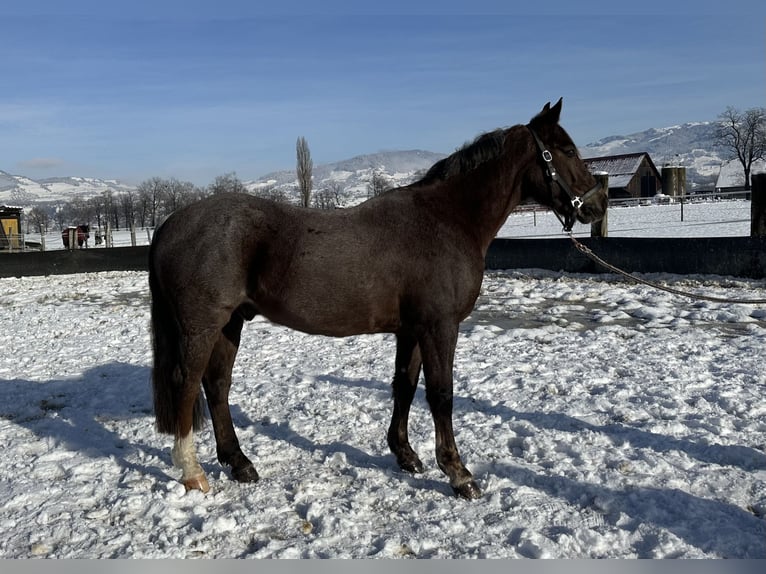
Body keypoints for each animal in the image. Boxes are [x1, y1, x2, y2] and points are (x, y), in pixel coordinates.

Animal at [148, 99, 608, 500]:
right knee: (186, 386)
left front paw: (406, 456)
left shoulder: (411, 329)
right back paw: (193, 473)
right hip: (202, 325)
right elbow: (441, 395)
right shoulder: (440, 326)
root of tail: (172, 222)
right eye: (567, 150)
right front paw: (458, 474)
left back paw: (239, 463)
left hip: (231, 323)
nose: (597, 204)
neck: (447, 219)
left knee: (217, 386)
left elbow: (404, 385)